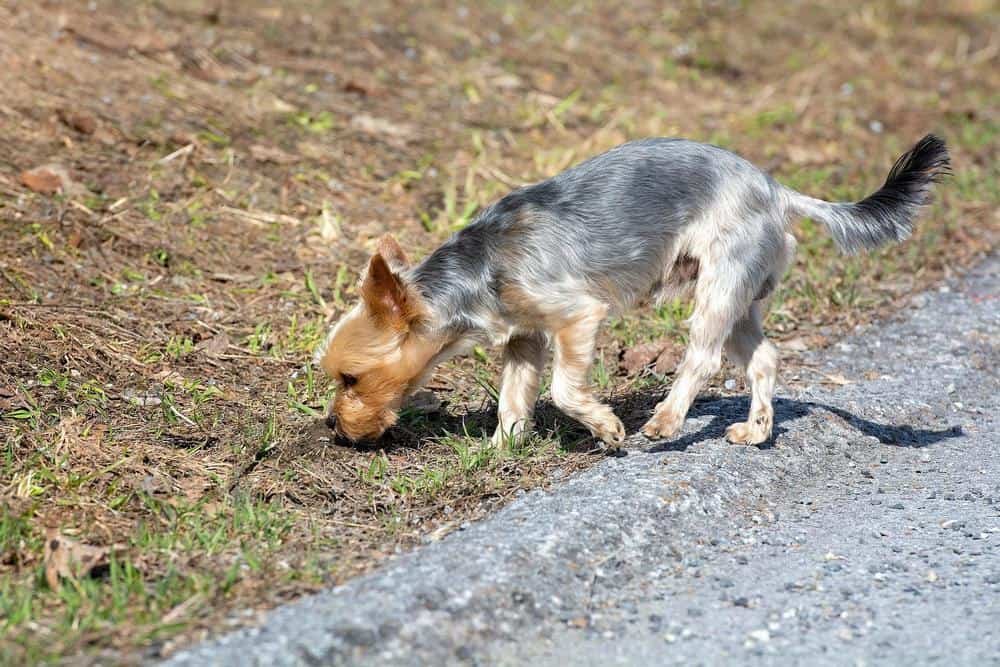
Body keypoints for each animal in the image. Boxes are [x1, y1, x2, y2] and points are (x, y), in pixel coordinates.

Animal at [316, 135, 948, 448]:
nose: (333, 425)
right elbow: (514, 398)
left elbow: (564, 390)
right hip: (741, 295)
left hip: (720, 285)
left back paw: (665, 422)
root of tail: (776, 189)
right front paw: (501, 449)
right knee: (763, 357)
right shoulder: (524, 338)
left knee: (703, 356)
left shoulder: (577, 316)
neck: (476, 271)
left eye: (351, 379)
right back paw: (755, 432)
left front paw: (605, 428)